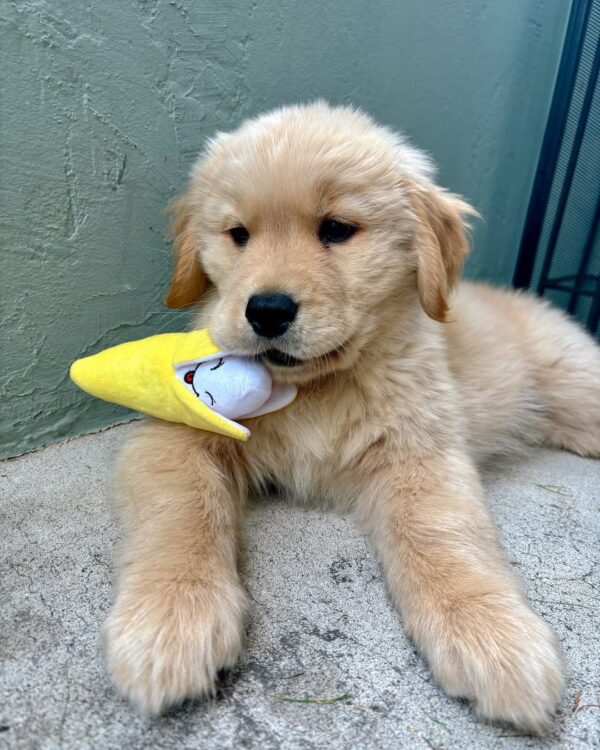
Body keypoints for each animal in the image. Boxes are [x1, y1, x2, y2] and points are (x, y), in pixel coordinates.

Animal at [103, 103, 600, 732]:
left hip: (577, 383)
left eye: (337, 229)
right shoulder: (174, 439)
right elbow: (183, 509)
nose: (266, 311)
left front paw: (492, 635)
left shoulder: (421, 451)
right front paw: (172, 616)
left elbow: (442, 534)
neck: (316, 388)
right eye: (238, 235)